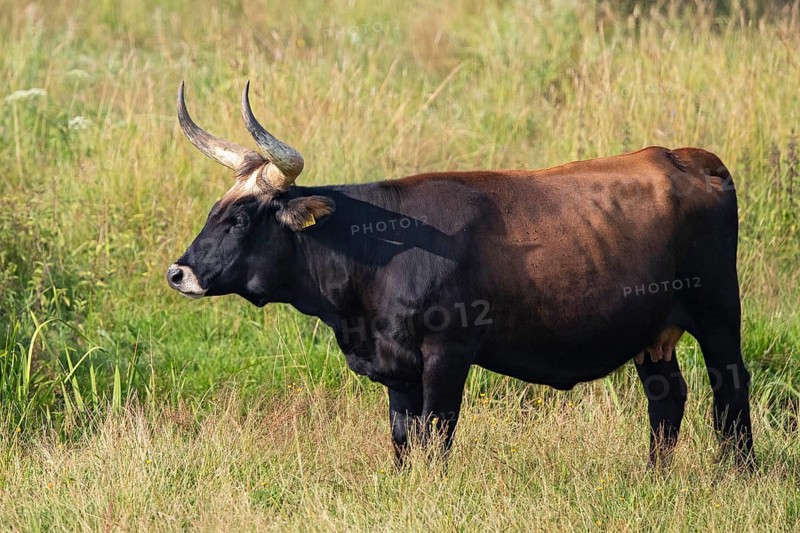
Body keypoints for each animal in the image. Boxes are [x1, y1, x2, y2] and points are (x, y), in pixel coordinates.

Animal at [167, 81, 755, 469]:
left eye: (241, 217)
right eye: (215, 209)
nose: (179, 272)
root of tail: (683, 156)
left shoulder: (447, 355)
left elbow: (436, 438)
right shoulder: (398, 371)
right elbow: (404, 442)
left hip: (719, 313)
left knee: (730, 387)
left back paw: (736, 474)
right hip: (654, 333)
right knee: (667, 397)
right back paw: (655, 476)